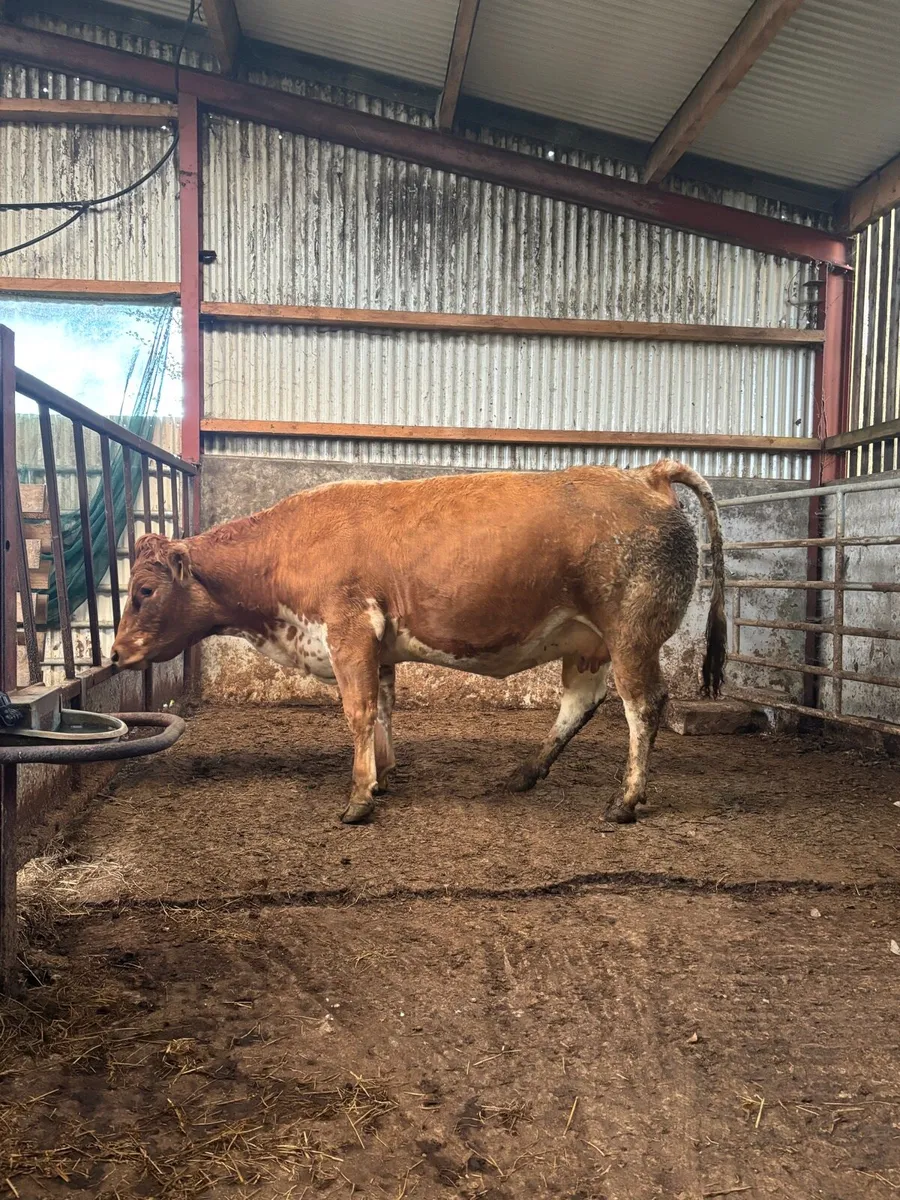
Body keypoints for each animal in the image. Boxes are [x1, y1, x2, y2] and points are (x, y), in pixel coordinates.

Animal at [111, 459, 726, 826]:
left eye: (144, 589)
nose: (116, 654)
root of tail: (645, 473)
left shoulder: (349, 630)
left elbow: (358, 712)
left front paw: (359, 798)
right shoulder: (378, 647)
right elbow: (383, 710)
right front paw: (383, 777)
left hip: (632, 634)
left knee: (642, 707)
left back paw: (625, 800)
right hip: (588, 642)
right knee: (579, 704)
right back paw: (526, 773)